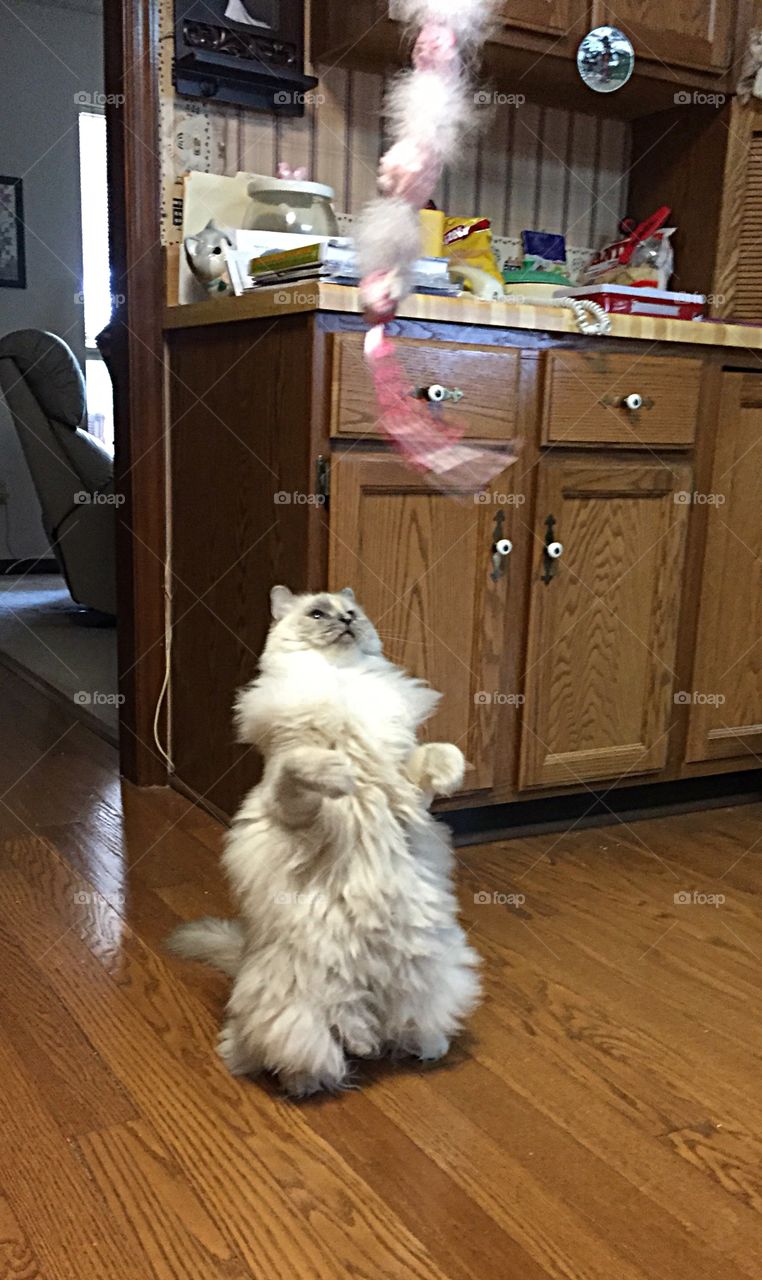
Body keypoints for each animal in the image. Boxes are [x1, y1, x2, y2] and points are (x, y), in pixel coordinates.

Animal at [169, 586, 484, 1095]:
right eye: (318, 614)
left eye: (351, 612)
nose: (347, 622)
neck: (341, 681)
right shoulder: (293, 805)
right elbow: (305, 767)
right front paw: (339, 771)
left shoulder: (409, 789)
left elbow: (438, 755)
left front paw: (452, 774)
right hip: (295, 1017)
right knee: (314, 1049)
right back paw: (313, 1075)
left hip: (434, 978)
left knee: (404, 1027)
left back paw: (422, 1047)